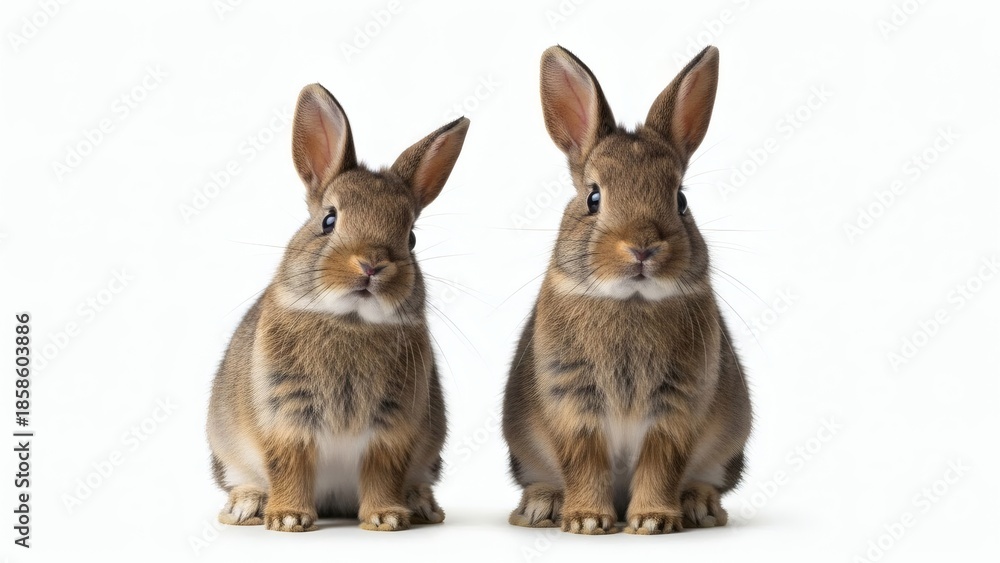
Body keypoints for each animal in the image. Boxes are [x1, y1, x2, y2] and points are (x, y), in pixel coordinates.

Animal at [206, 83, 469, 532]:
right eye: (329, 220)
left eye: (411, 238)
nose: (371, 264)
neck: (350, 321)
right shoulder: (286, 416)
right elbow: (290, 465)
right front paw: (289, 518)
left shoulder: (392, 426)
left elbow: (382, 470)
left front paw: (385, 517)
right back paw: (246, 508)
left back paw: (420, 506)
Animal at [502, 45, 751, 535]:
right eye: (593, 198)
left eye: (681, 200)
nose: (642, 247)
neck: (630, 301)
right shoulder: (573, 400)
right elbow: (584, 461)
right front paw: (587, 521)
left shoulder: (676, 405)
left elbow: (661, 463)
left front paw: (653, 520)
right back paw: (542, 506)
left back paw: (698, 506)